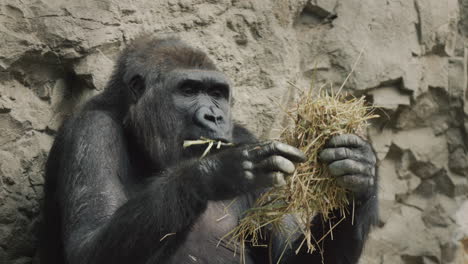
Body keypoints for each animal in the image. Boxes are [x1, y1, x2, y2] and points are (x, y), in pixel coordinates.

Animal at [39, 36, 376, 264]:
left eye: (217, 93)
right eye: (188, 90)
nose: (214, 117)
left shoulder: (241, 133)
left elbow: (286, 256)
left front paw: (359, 175)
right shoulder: (91, 131)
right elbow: (86, 245)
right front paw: (213, 173)